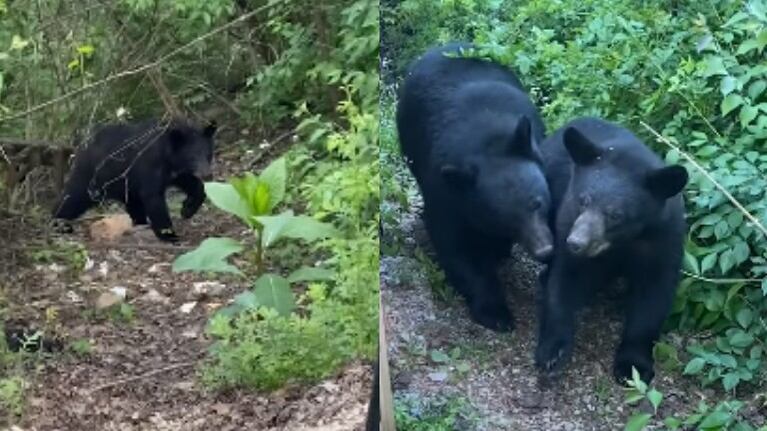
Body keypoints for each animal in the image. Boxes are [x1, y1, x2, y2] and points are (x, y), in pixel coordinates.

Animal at [52, 118, 217, 242]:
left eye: (208, 154)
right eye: (192, 157)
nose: (208, 174)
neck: (167, 155)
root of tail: (81, 147)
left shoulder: (175, 172)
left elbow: (191, 184)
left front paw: (187, 209)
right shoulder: (150, 165)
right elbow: (153, 197)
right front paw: (169, 234)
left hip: (125, 186)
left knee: (133, 204)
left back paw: (140, 224)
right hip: (91, 175)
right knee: (73, 197)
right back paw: (59, 223)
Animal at [396, 42, 553, 331]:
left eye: (537, 202)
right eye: (508, 220)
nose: (544, 250)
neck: (486, 144)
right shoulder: (446, 191)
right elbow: (457, 247)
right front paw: (496, 313)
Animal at [534, 117, 688, 384]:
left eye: (616, 214)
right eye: (583, 200)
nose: (576, 242)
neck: (622, 242)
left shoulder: (663, 239)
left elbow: (653, 297)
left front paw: (633, 366)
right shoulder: (568, 218)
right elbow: (563, 280)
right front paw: (553, 351)